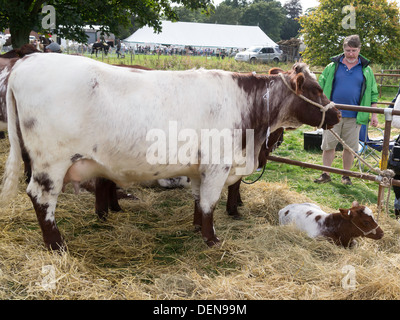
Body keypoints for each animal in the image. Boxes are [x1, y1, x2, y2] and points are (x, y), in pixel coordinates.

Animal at [0, 53, 340, 250]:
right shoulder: (218, 167)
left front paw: (196, 228)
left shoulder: (200, 169)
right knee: (41, 199)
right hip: (50, 163)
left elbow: (199, 202)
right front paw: (212, 239)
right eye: (315, 89)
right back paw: (56, 244)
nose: (336, 113)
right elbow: (210, 204)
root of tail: (25, 62)